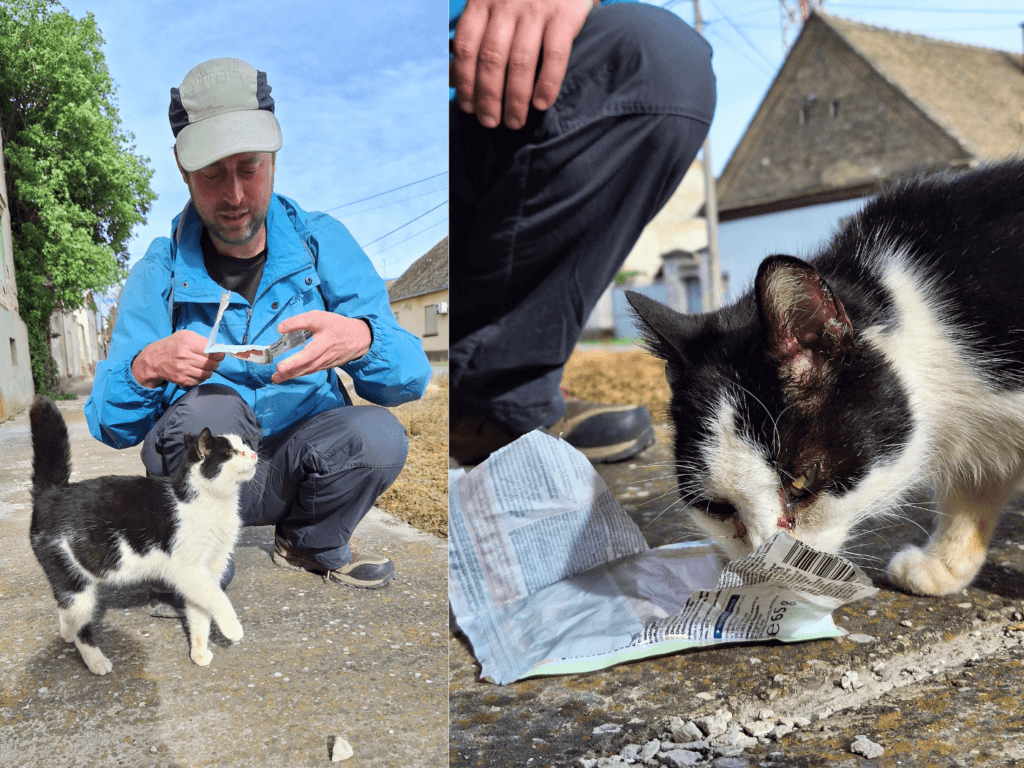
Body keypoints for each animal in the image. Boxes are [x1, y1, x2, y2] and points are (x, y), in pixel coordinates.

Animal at [30, 397, 260, 671]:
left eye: (244, 445)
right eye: (232, 453)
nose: (254, 454)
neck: (211, 501)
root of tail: (52, 493)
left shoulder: (209, 569)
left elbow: (200, 613)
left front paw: (199, 652)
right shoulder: (187, 569)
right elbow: (217, 598)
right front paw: (232, 628)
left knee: (65, 609)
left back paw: (66, 633)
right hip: (73, 579)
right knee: (79, 624)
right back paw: (95, 660)